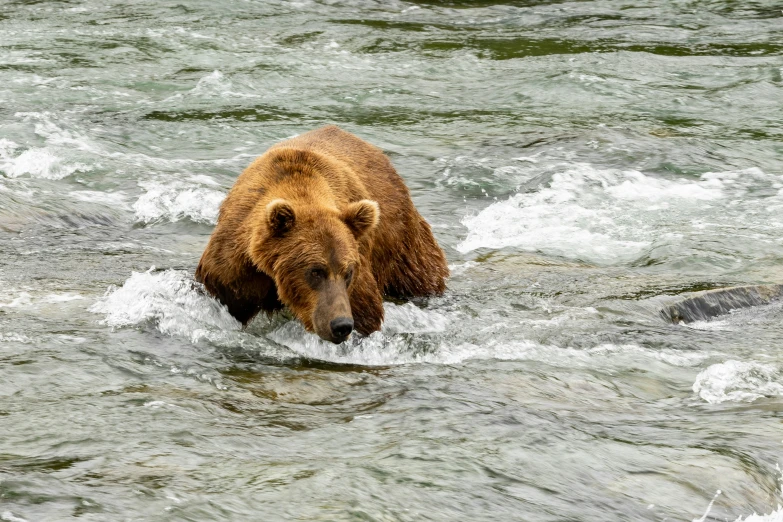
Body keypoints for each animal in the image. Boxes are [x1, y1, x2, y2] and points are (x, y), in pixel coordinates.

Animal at [195, 124, 450, 344]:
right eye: (315, 270)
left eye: (348, 272)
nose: (341, 325)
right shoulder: (237, 269)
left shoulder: (356, 277)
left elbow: (366, 312)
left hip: (402, 244)